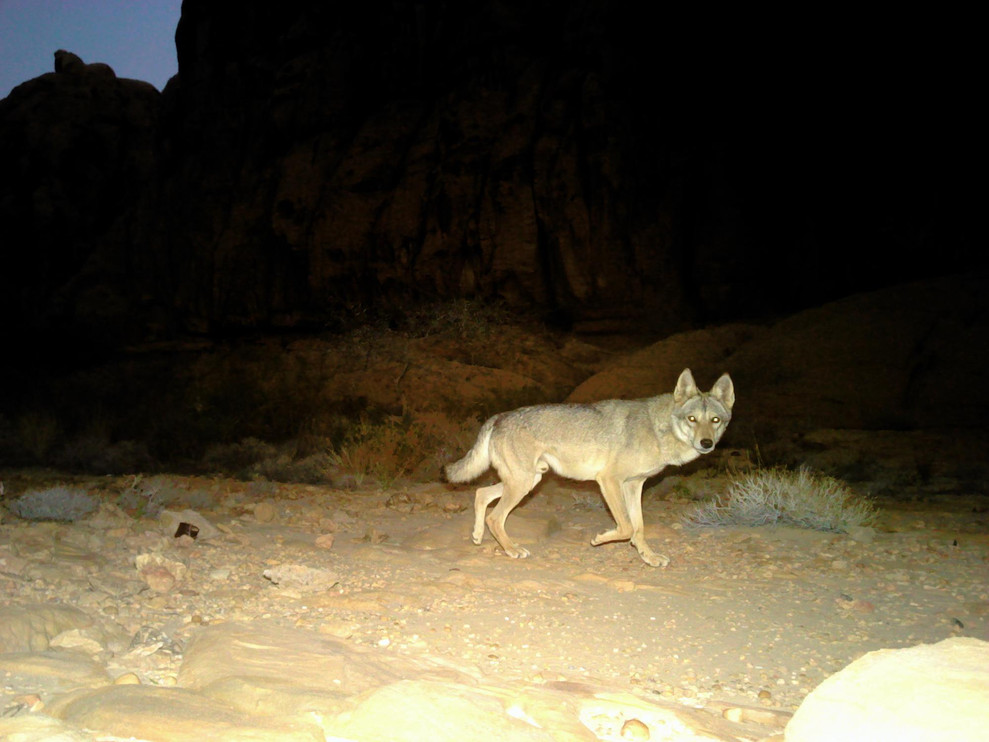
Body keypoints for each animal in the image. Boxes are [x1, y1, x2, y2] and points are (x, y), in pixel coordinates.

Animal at [445, 368, 734, 567]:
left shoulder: (634, 485)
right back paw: (512, 549)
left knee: (480, 494)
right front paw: (599, 538)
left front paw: (649, 557)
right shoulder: (609, 480)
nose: (706, 443)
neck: (657, 429)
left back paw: (477, 536)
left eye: (715, 420)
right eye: (692, 419)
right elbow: (626, 527)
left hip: (528, 480)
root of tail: (499, 416)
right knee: (495, 517)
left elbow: (638, 527)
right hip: (523, 484)